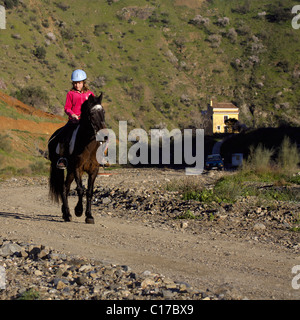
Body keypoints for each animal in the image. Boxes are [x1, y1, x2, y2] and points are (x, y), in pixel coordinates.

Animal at [48, 92, 106, 222]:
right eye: (92, 114)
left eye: (103, 112)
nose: (105, 136)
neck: (88, 145)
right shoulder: (77, 168)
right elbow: (80, 189)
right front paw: (79, 210)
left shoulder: (94, 170)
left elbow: (89, 191)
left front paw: (89, 215)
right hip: (61, 168)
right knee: (63, 188)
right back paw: (67, 214)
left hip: (69, 171)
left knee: (66, 187)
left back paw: (65, 213)